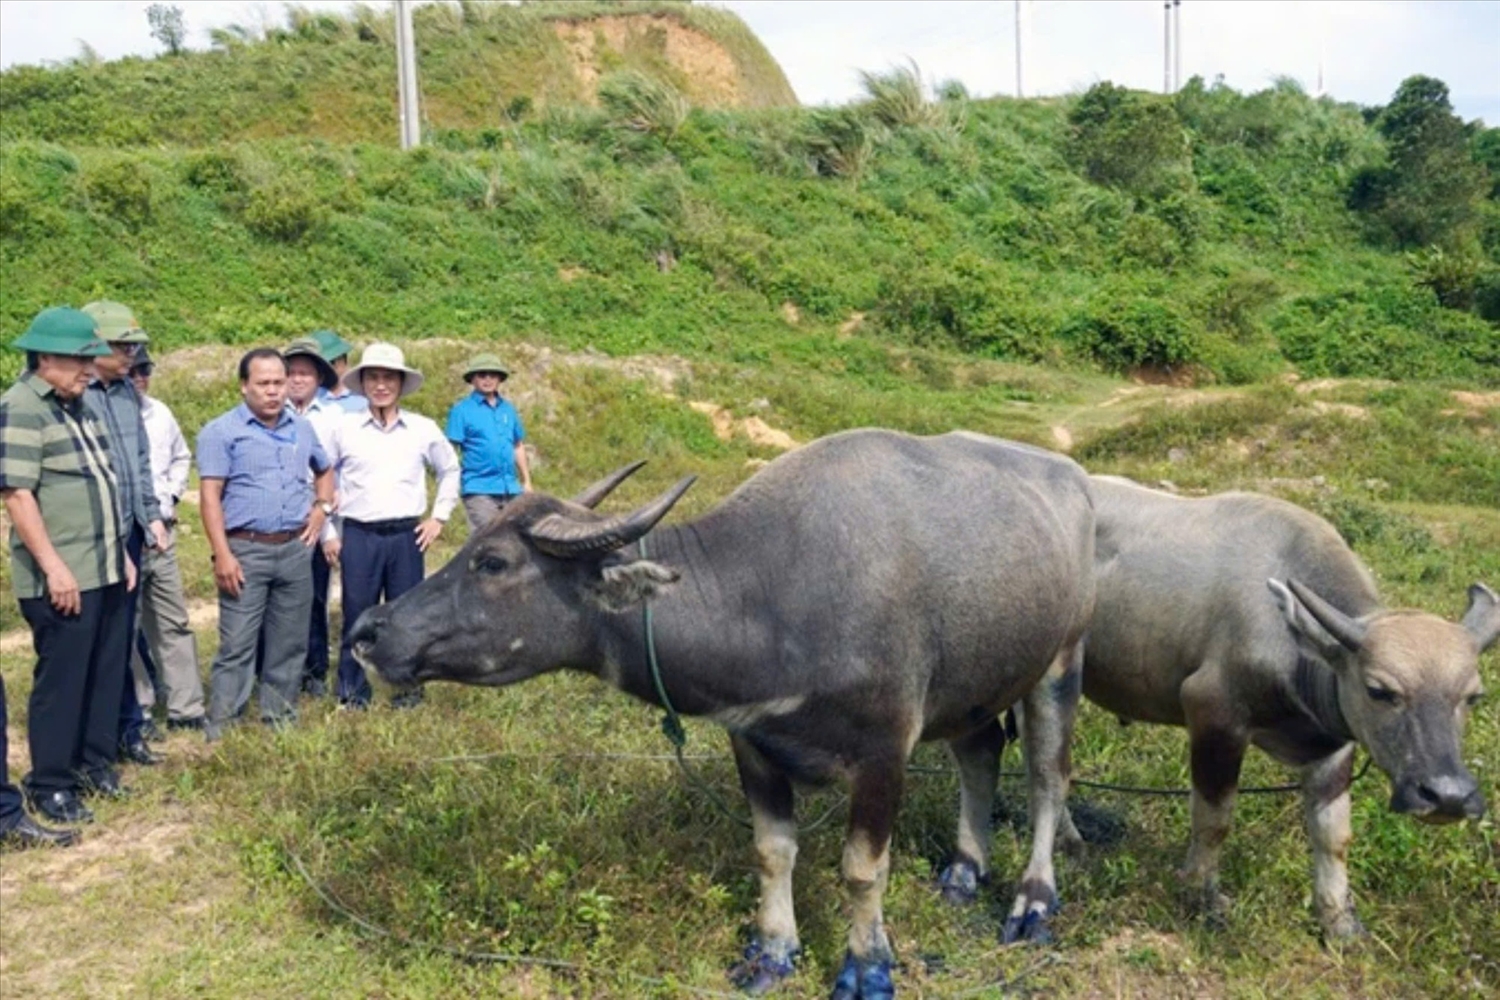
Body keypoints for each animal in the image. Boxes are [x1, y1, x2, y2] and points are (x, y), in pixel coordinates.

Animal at [352, 431, 1104, 1000]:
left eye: (493, 561)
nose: (367, 629)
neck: (775, 596)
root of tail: (1074, 481)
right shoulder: (753, 743)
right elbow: (772, 851)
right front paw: (772, 953)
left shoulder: (884, 752)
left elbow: (862, 868)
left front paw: (867, 968)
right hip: (978, 680)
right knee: (980, 753)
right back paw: (963, 872)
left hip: (1060, 662)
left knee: (1047, 777)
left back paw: (1033, 901)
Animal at [1074, 479, 1494, 941]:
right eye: (1379, 690)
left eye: (1473, 696)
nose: (1448, 796)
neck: (1291, 641)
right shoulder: (1213, 714)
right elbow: (1214, 820)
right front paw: (1202, 897)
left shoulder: (1334, 744)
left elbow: (1333, 835)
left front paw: (1338, 921)